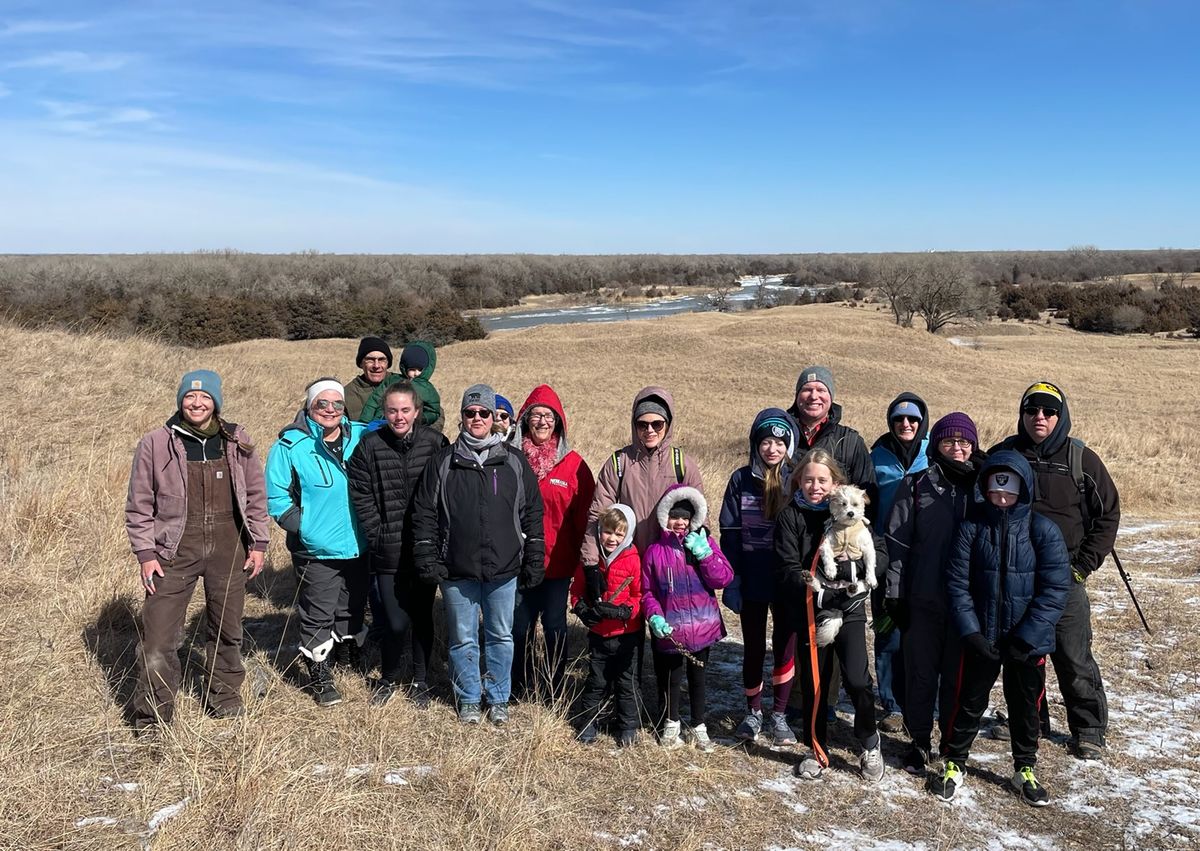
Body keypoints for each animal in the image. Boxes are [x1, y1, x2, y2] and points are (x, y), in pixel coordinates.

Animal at [806, 484, 883, 643]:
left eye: (855, 504)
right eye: (843, 504)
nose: (851, 513)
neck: (847, 528)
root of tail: (837, 589)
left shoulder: (868, 548)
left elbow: (870, 565)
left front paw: (872, 578)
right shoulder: (826, 544)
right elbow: (827, 557)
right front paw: (831, 570)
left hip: (862, 587)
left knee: (855, 590)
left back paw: (853, 588)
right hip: (818, 576)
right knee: (817, 587)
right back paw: (809, 578)